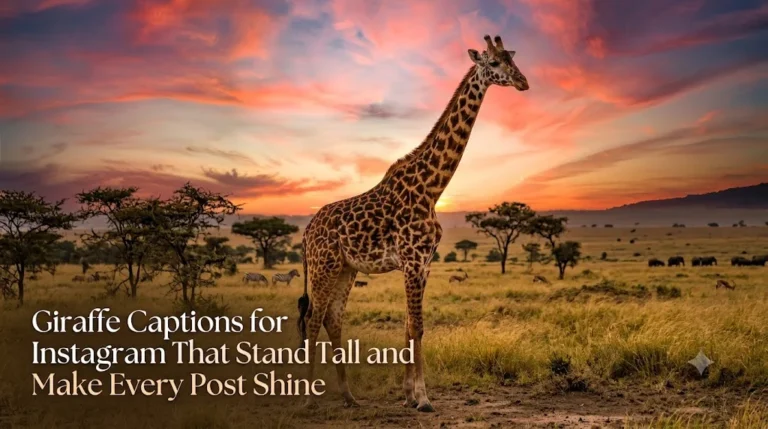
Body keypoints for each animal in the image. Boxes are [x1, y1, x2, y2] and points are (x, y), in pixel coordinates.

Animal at [297, 34, 529, 412]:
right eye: (494, 63)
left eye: (512, 58)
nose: (523, 82)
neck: (432, 188)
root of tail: (305, 233)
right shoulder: (412, 260)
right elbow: (417, 326)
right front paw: (422, 398)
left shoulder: (425, 263)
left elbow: (409, 324)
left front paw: (408, 394)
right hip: (324, 266)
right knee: (313, 318)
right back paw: (307, 398)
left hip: (347, 269)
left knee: (332, 318)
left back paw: (348, 395)